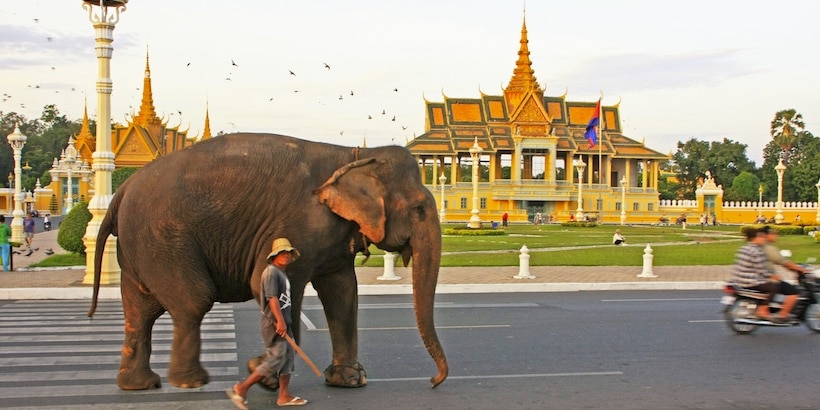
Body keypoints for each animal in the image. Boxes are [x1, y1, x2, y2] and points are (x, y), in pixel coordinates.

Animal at [88, 134, 448, 390]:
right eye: (419, 209)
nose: (434, 381)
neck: (355, 155)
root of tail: (122, 191)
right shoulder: (301, 224)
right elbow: (275, 283)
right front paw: (262, 376)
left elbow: (343, 292)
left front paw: (348, 381)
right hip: (164, 239)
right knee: (193, 301)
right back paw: (191, 382)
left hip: (141, 247)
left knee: (139, 309)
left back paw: (139, 385)